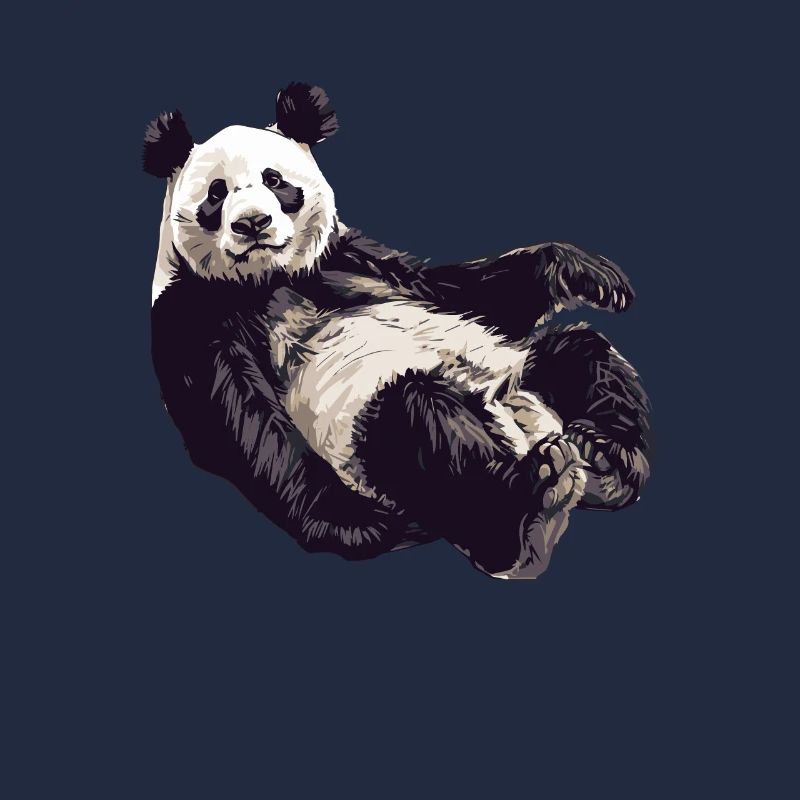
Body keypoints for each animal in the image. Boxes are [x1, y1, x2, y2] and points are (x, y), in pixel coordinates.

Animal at [145, 83, 651, 579]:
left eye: (275, 181)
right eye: (216, 195)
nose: (253, 223)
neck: (271, 279)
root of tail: (524, 425)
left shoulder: (351, 255)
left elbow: (463, 291)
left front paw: (588, 273)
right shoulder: (190, 313)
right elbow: (247, 422)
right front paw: (364, 528)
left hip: (523, 376)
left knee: (583, 355)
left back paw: (605, 461)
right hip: (368, 440)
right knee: (420, 418)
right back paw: (528, 514)